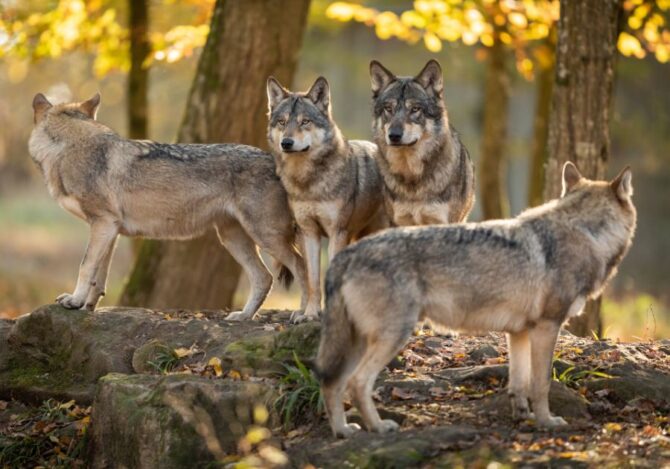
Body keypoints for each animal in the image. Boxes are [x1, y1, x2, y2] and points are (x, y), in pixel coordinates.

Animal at [28, 92, 306, 320]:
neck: (69, 149)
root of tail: (278, 162)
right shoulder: (110, 229)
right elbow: (99, 276)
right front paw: (88, 306)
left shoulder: (102, 224)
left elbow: (85, 266)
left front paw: (74, 301)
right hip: (232, 238)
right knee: (264, 277)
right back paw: (243, 316)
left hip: (265, 237)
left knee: (303, 267)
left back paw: (305, 315)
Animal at [266, 76, 387, 322]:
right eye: (282, 122)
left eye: (305, 122)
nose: (286, 143)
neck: (309, 182)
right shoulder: (309, 232)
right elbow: (313, 280)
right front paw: (310, 313)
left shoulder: (336, 232)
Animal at [317, 162, 636, 437]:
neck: (585, 232)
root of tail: (346, 255)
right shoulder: (547, 327)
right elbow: (541, 383)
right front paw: (548, 422)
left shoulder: (520, 333)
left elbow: (519, 383)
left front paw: (523, 416)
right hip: (392, 336)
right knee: (357, 383)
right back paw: (379, 427)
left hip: (357, 342)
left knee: (332, 383)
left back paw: (343, 431)